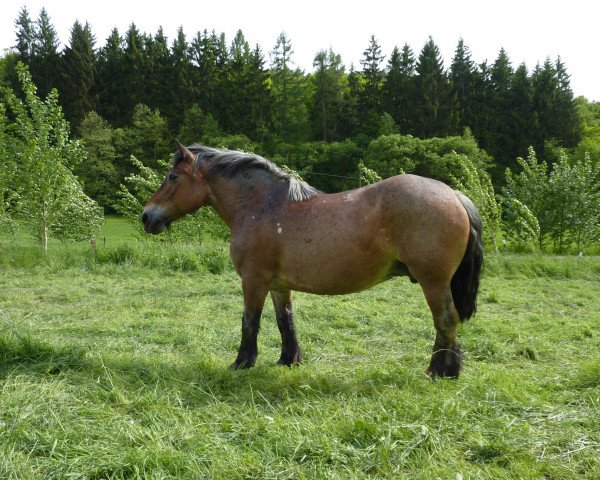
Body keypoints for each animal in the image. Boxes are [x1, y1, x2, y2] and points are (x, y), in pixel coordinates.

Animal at [142, 142, 482, 378]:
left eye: (172, 177)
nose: (146, 216)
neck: (262, 206)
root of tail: (454, 194)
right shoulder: (278, 285)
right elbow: (285, 320)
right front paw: (288, 360)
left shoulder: (254, 281)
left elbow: (250, 322)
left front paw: (241, 363)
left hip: (433, 282)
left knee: (445, 320)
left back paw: (438, 371)